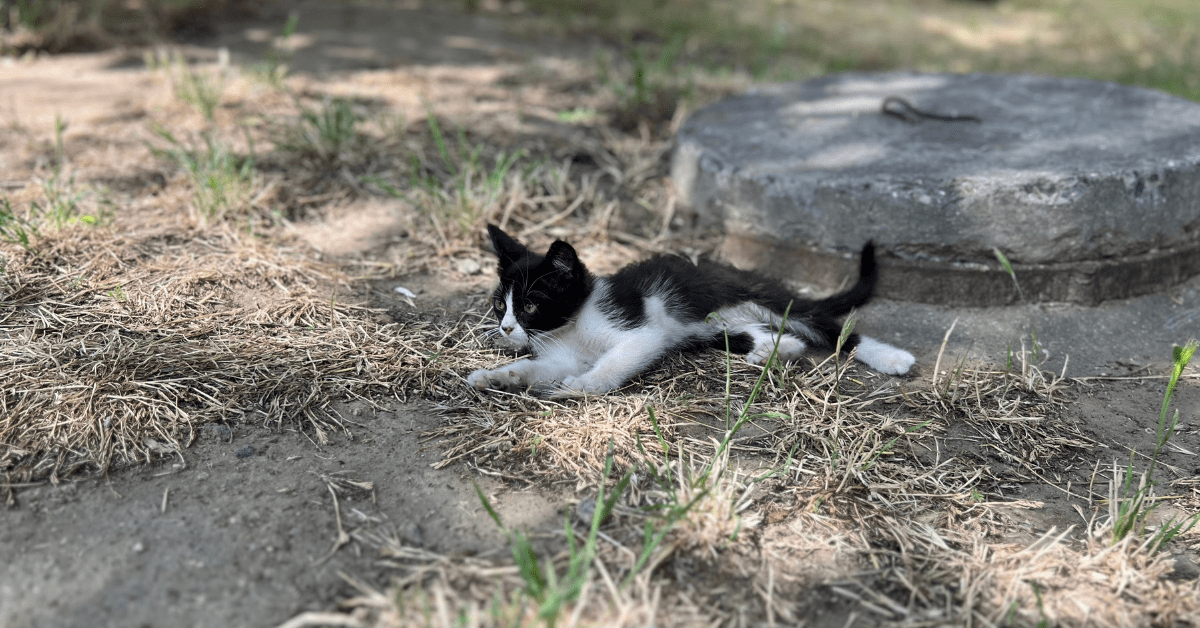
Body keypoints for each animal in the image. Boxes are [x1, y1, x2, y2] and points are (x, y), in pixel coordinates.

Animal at [463, 226, 912, 398]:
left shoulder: (641, 332)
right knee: (777, 336)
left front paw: (583, 385)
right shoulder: (561, 355)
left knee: (830, 329)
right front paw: (495, 376)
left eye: (530, 304)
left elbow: (613, 362)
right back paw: (772, 351)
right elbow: (537, 368)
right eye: (500, 304)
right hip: (715, 327)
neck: (571, 326)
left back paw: (893, 358)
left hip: (757, 298)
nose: (506, 328)